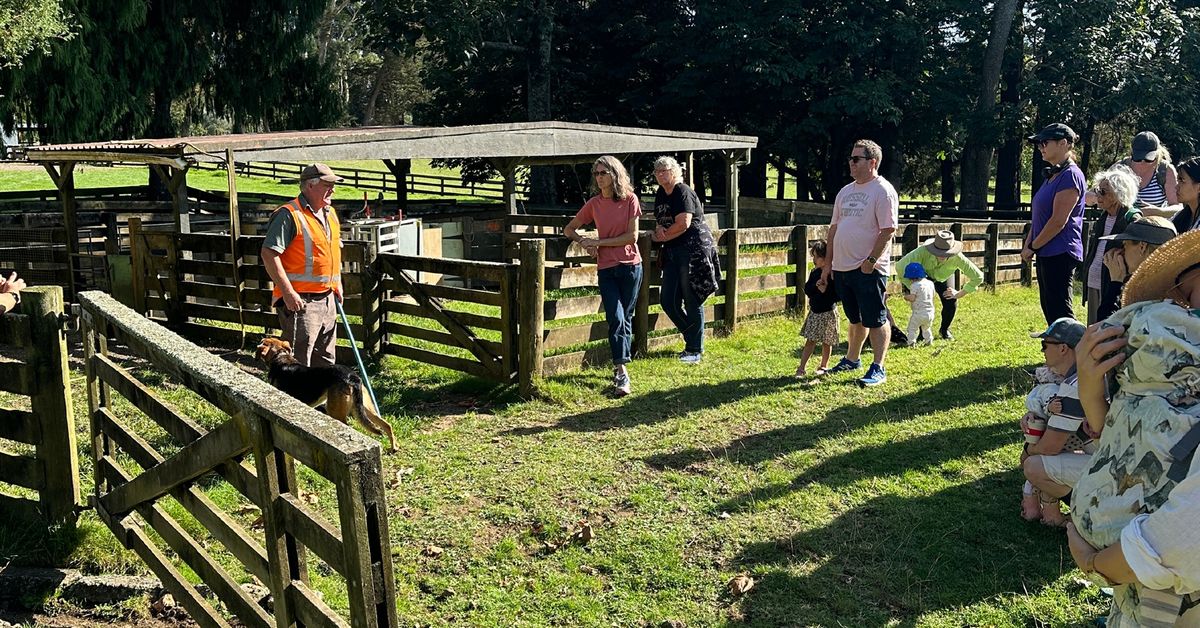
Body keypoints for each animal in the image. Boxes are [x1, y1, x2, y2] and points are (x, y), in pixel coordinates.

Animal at [258, 338, 398, 451]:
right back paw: (394, 448)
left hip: (336, 412)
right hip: (364, 407)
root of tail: (352, 376)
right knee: (386, 425)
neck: (280, 357)